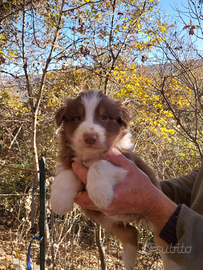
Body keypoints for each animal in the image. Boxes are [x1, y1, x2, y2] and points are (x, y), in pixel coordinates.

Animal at [50, 90, 179, 270]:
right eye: (77, 118)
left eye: (104, 117)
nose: (90, 137)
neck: (91, 155)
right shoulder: (70, 161)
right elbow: (67, 173)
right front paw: (59, 202)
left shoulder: (129, 165)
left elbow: (99, 165)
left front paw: (100, 196)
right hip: (107, 221)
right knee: (132, 232)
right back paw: (129, 261)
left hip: (159, 223)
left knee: (164, 246)